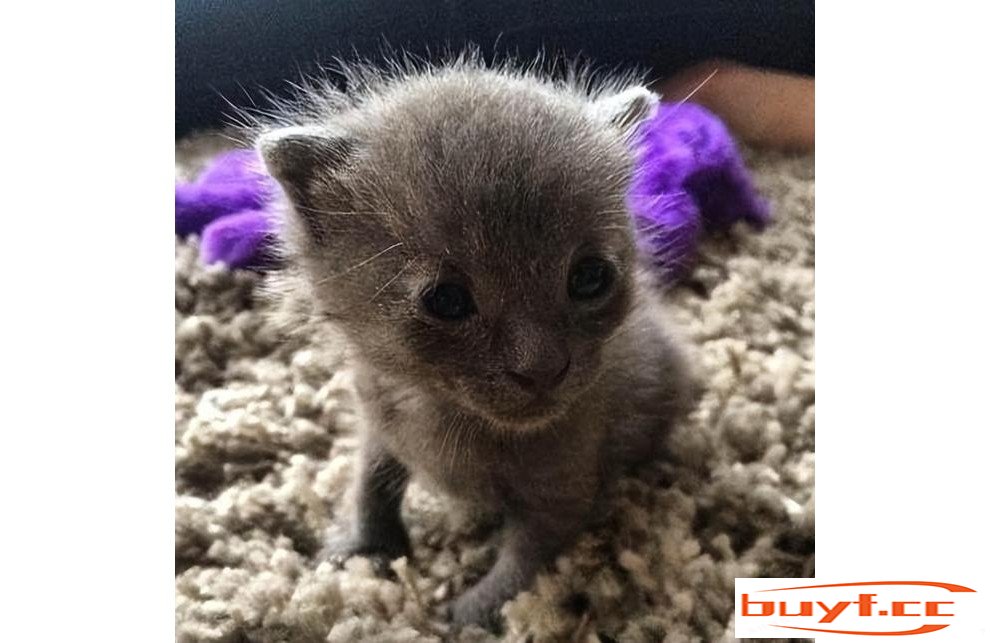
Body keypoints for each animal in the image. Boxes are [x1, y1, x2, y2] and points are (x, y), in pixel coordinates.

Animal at [258, 59, 696, 628]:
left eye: (589, 277)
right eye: (446, 299)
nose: (542, 368)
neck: (450, 417)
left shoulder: (563, 492)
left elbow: (528, 562)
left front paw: (468, 613)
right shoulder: (377, 417)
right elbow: (368, 482)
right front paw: (359, 545)